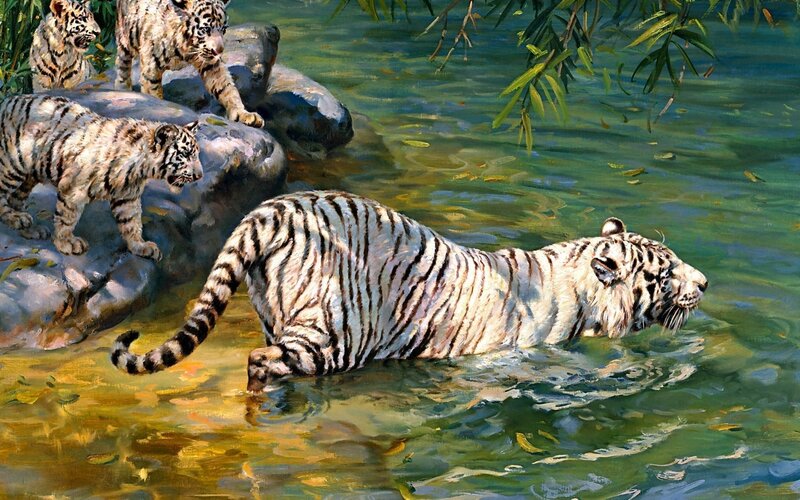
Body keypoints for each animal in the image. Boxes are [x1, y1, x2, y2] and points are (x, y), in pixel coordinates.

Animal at [0, 94, 202, 260]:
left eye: (196, 153)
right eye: (185, 154)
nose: (199, 175)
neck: (140, 169)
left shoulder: (127, 196)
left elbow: (132, 222)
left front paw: (140, 246)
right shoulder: (73, 187)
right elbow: (67, 216)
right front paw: (66, 243)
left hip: (28, 176)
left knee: (16, 198)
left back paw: (28, 226)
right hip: (12, 166)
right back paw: (16, 218)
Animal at [111, 191, 708, 392]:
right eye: (665, 272)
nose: (704, 282)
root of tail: (270, 210)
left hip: (276, 313)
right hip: (333, 331)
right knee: (263, 362)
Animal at [114, 0, 264, 128]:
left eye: (224, 28)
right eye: (205, 29)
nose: (219, 50)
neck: (187, 48)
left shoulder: (211, 65)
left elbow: (226, 88)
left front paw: (244, 114)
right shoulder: (151, 67)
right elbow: (153, 92)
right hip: (126, 38)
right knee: (123, 64)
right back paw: (122, 88)